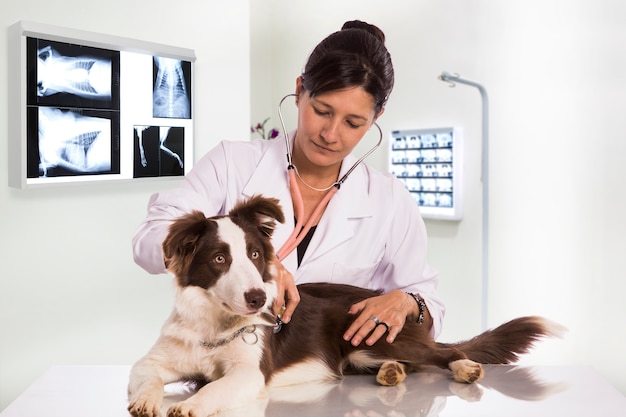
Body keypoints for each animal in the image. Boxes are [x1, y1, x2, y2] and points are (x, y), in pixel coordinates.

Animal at [127, 195, 560, 416]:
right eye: (219, 259)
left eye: (253, 254)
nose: (258, 298)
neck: (214, 325)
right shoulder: (152, 361)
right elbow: (145, 377)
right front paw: (146, 400)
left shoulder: (250, 374)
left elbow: (216, 386)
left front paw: (190, 405)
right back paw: (391, 373)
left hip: (374, 335)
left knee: (441, 352)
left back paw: (463, 366)